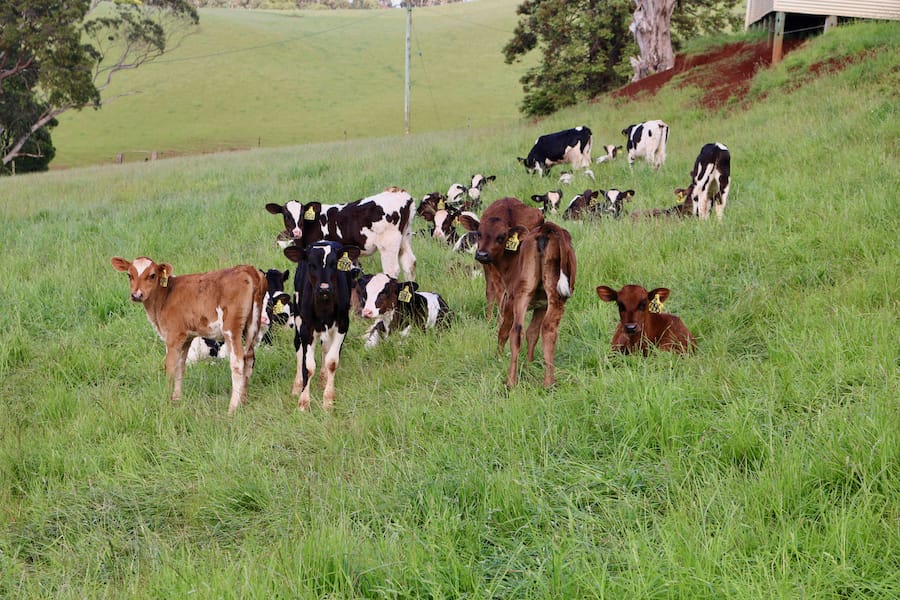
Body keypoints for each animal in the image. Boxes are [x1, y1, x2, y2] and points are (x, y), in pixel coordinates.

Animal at [110, 255, 266, 414]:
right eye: (129, 275)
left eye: (152, 275)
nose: (136, 295)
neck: (165, 296)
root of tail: (247, 269)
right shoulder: (186, 337)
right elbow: (180, 366)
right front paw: (177, 399)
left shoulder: (173, 336)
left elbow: (170, 366)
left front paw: (166, 400)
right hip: (253, 326)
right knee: (249, 359)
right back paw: (243, 402)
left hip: (232, 328)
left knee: (237, 362)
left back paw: (232, 409)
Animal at [266, 185, 416, 282]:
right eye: (286, 215)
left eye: (302, 214)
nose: (296, 232)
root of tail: (399, 192)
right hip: (404, 238)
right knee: (409, 264)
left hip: (388, 244)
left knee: (391, 271)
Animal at [284, 241, 362, 410]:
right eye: (311, 264)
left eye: (334, 264)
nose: (324, 288)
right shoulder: (306, 327)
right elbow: (308, 366)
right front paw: (303, 403)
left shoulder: (343, 324)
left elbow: (332, 362)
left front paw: (328, 401)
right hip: (298, 320)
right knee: (299, 350)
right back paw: (297, 386)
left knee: (326, 347)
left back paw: (323, 379)